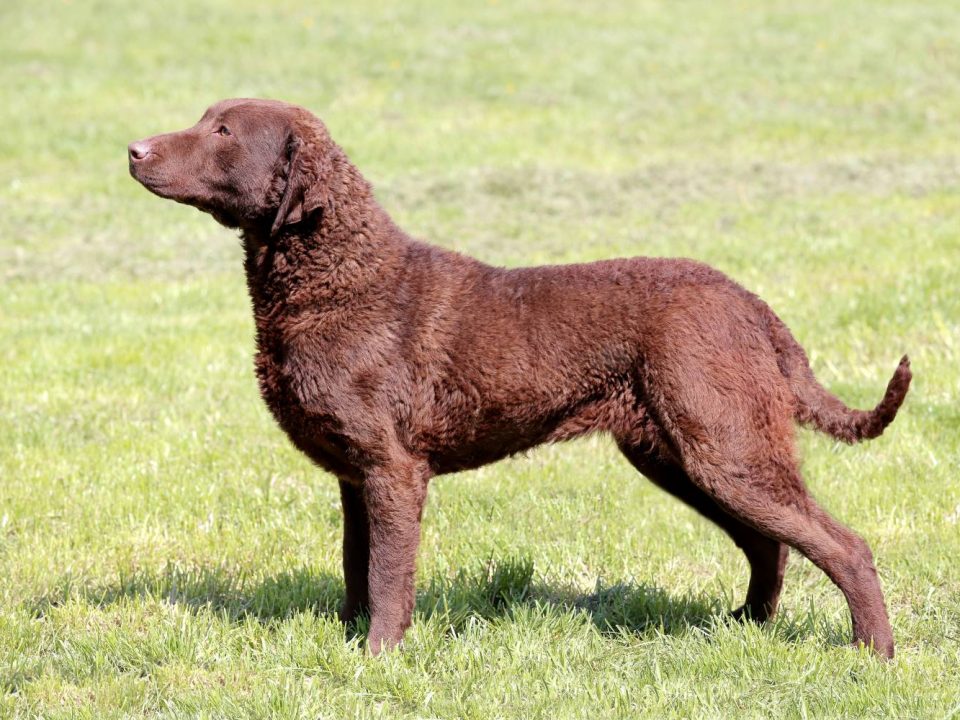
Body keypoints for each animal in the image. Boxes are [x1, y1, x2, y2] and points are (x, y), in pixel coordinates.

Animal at [127, 100, 908, 660]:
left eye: (222, 130)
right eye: (204, 117)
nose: (133, 149)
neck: (340, 280)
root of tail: (752, 304)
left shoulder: (393, 469)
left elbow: (388, 576)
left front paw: (378, 657)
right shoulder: (355, 473)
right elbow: (355, 567)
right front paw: (345, 640)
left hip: (724, 446)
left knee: (843, 546)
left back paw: (872, 653)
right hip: (680, 453)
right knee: (769, 543)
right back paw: (743, 626)